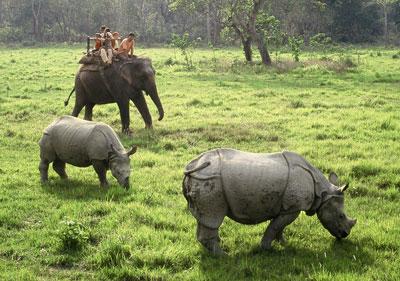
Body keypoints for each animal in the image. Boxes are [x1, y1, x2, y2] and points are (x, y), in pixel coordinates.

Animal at [182, 148, 356, 255]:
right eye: (341, 216)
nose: (345, 235)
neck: (323, 192)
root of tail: (192, 166)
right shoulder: (293, 208)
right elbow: (274, 227)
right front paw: (266, 249)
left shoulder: (286, 208)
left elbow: (280, 227)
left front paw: (283, 243)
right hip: (210, 181)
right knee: (213, 217)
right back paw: (223, 256)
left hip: (206, 180)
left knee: (205, 219)